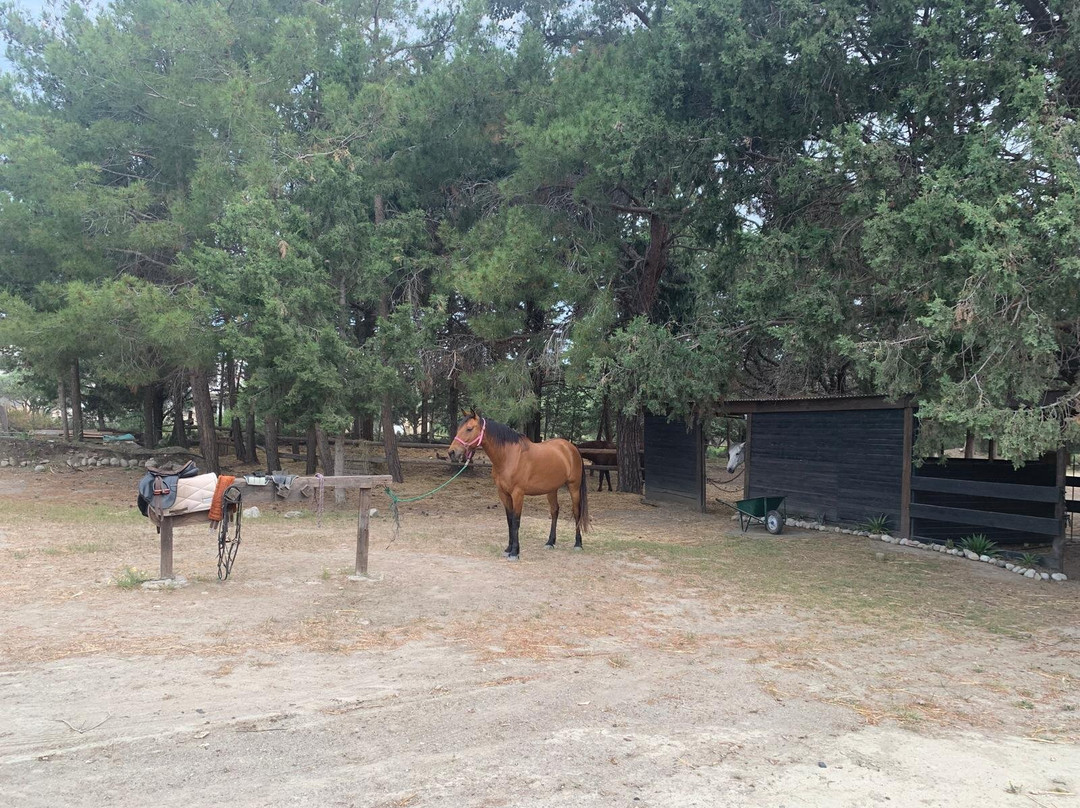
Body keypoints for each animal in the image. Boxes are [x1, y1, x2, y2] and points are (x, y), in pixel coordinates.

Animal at [448, 410, 590, 560]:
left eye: (469, 429)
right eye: (459, 428)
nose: (452, 452)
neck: (508, 456)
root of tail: (571, 447)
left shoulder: (518, 494)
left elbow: (516, 521)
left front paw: (515, 552)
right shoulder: (503, 494)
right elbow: (509, 520)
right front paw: (508, 548)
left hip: (574, 487)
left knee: (576, 512)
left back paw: (578, 544)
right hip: (552, 489)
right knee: (554, 511)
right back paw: (550, 542)